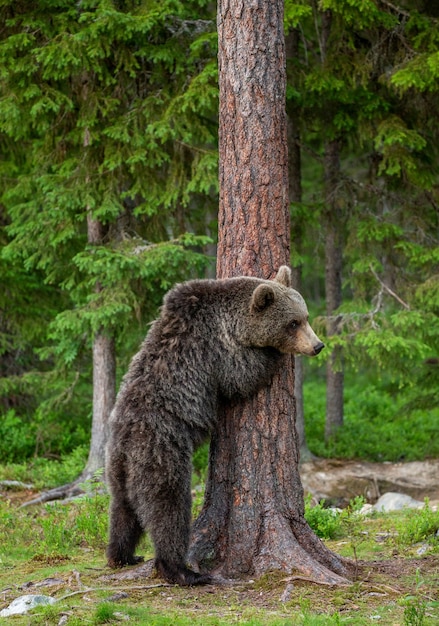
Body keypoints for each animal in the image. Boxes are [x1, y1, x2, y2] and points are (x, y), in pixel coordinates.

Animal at [105, 264, 324, 584]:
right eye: (292, 323)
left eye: (305, 317)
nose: (318, 345)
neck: (229, 320)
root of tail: (126, 444)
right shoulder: (214, 351)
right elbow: (241, 377)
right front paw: (273, 354)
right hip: (161, 452)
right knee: (168, 509)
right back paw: (182, 570)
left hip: (118, 467)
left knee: (123, 511)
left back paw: (122, 555)